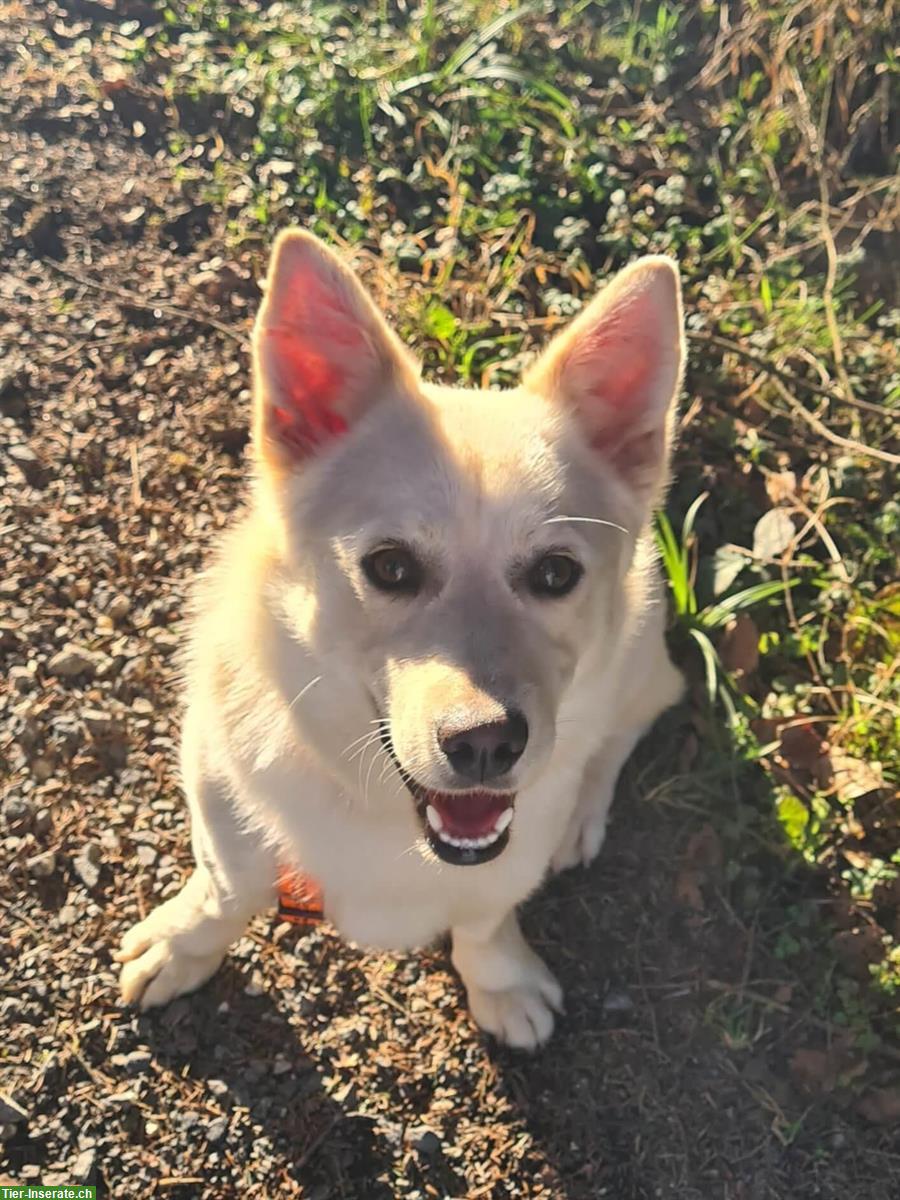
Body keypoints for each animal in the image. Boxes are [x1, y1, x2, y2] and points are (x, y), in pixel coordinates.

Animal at [118, 229, 681, 1046]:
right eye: (390, 567)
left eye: (555, 573)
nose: (486, 744)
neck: (384, 812)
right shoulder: (217, 783)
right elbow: (227, 883)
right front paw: (181, 944)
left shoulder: (502, 861)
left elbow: (485, 917)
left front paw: (501, 982)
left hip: (643, 648)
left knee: (626, 729)